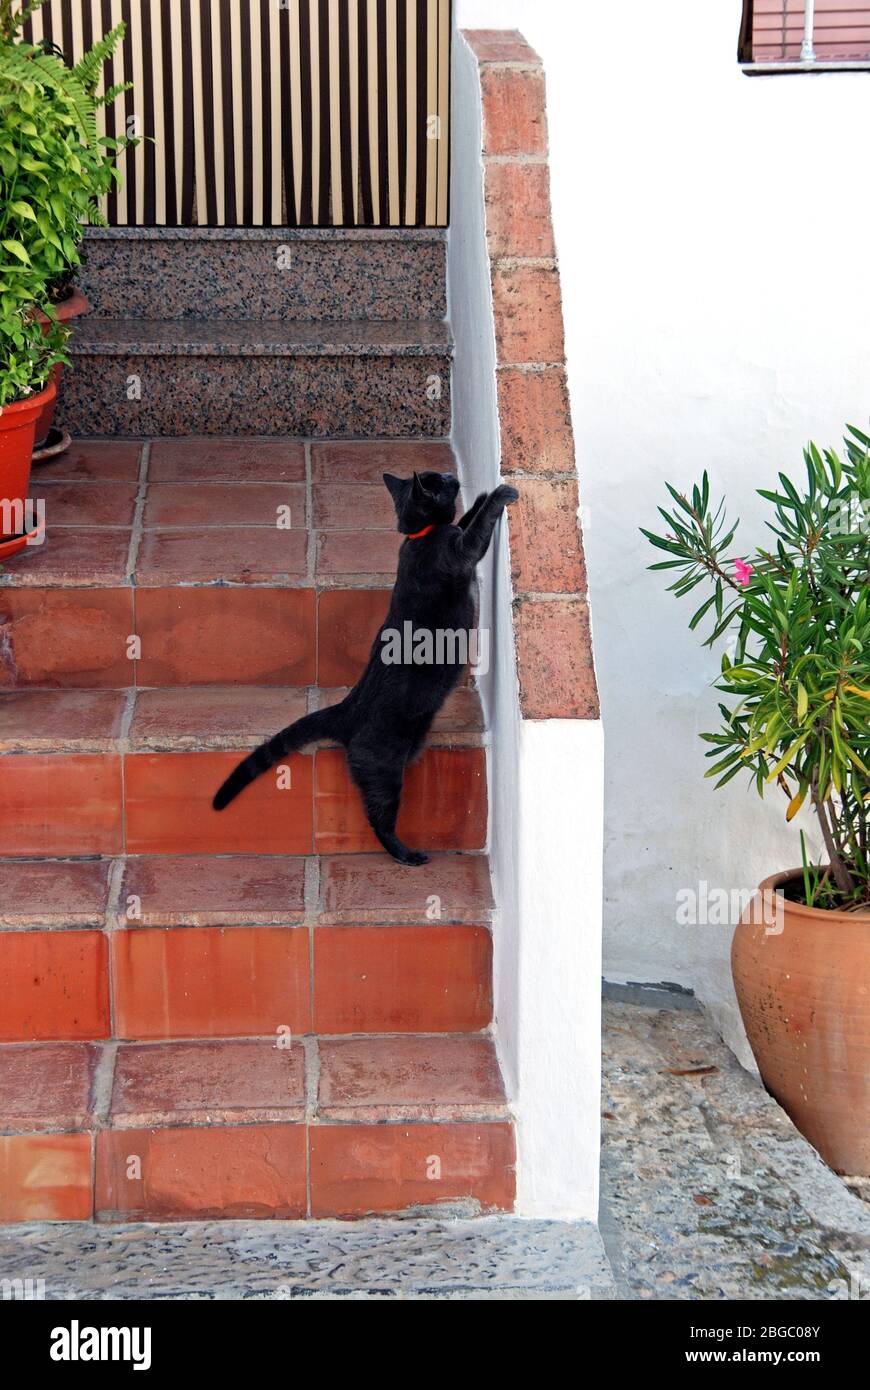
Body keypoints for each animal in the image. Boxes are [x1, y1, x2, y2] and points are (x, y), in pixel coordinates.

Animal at [214, 478, 516, 867]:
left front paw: (478, 498)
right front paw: (498, 496)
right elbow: (474, 531)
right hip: (384, 769)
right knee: (379, 818)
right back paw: (407, 854)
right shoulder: (460, 551)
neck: (420, 536)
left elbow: (466, 519)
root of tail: (346, 710)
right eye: (439, 482)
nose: (453, 477)